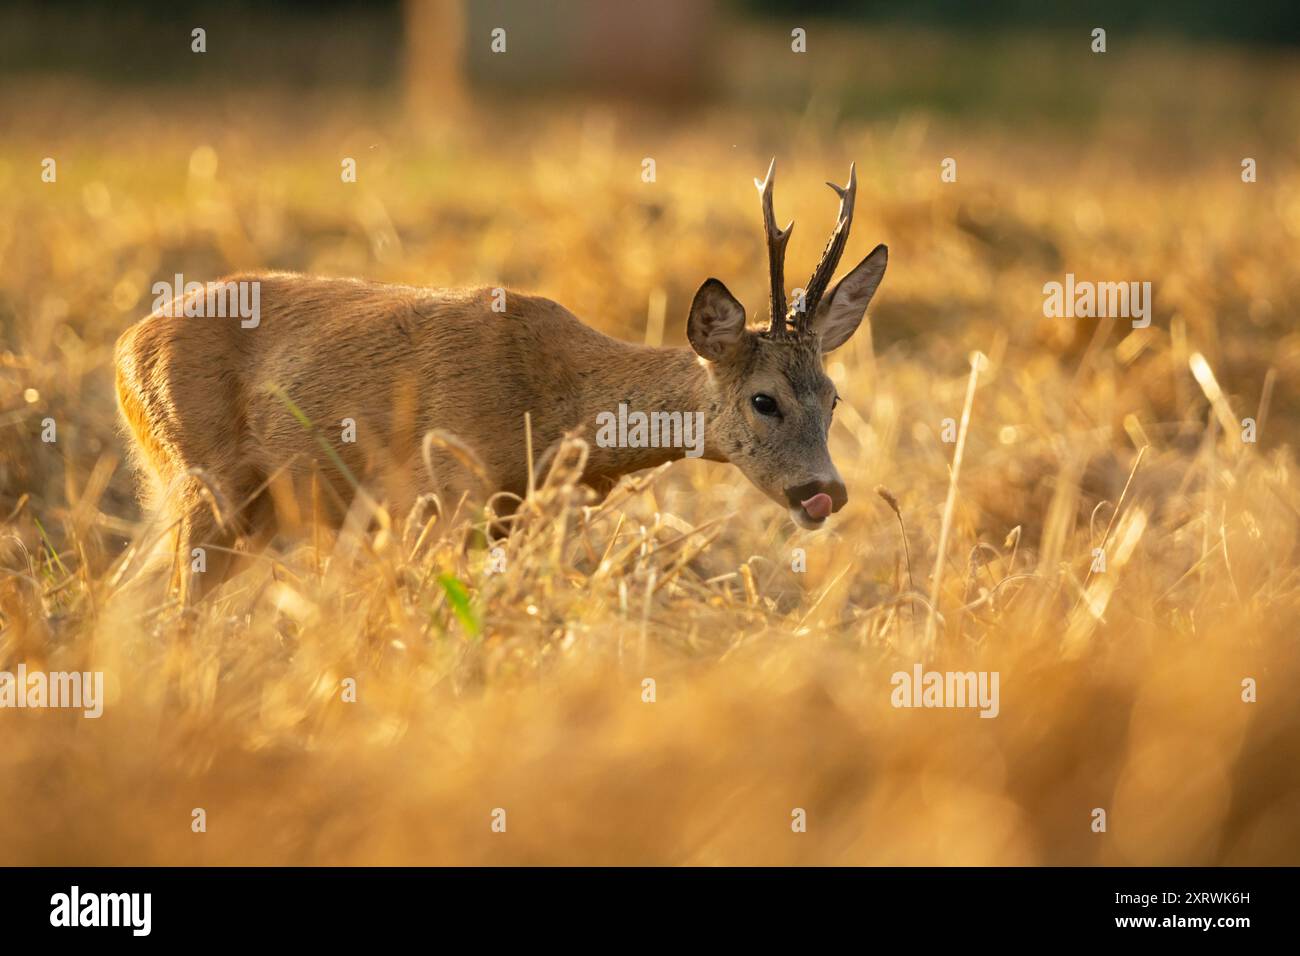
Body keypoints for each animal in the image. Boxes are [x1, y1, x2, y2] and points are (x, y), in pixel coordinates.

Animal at [114, 160, 887, 603]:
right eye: (764, 400)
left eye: (834, 398)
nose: (824, 491)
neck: (551, 404)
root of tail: (125, 347)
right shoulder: (447, 490)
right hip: (200, 477)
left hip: (242, 506)